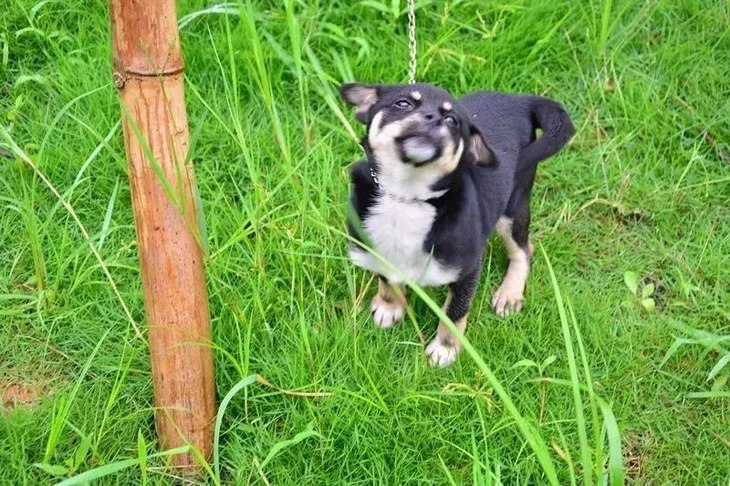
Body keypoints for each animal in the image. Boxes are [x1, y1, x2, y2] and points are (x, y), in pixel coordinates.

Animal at [341, 82, 574, 367]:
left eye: (453, 121)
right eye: (402, 103)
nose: (433, 118)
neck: (407, 196)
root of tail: (519, 99)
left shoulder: (467, 271)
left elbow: (454, 312)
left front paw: (445, 349)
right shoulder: (375, 248)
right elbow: (386, 280)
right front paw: (389, 305)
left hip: (512, 206)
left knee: (523, 250)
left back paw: (509, 293)